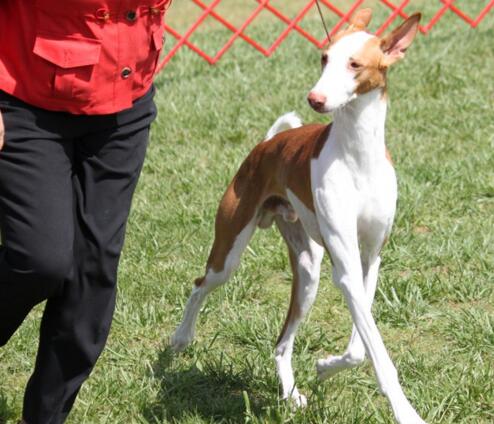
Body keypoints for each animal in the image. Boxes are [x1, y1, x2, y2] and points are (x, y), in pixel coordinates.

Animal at [171, 9, 425, 424]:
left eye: (355, 64)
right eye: (324, 58)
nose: (315, 98)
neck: (359, 155)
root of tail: (267, 144)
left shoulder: (368, 260)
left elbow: (360, 346)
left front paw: (325, 366)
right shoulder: (346, 267)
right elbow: (374, 352)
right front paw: (406, 413)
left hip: (309, 272)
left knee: (280, 343)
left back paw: (290, 394)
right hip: (230, 250)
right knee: (200, 283)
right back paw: (180, 338)